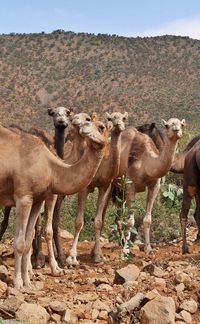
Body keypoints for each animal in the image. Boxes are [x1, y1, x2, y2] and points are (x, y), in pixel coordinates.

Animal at [0, 119, 108, 288]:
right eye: (88, 121)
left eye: (102, 127)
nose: (84, 126)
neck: (50, 167)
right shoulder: (23, 197)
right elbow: (19, 243)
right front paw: (18, 283)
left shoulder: (38, 199)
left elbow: (28, 240)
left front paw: (28, 282)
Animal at [65, 110, 128, 264]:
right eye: (111, 118)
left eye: (102, 127)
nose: (118, 125)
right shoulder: (84, 187)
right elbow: (79, 221)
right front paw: (71, 257)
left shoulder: (105, 186)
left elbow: (99, 221)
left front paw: (98, 255)